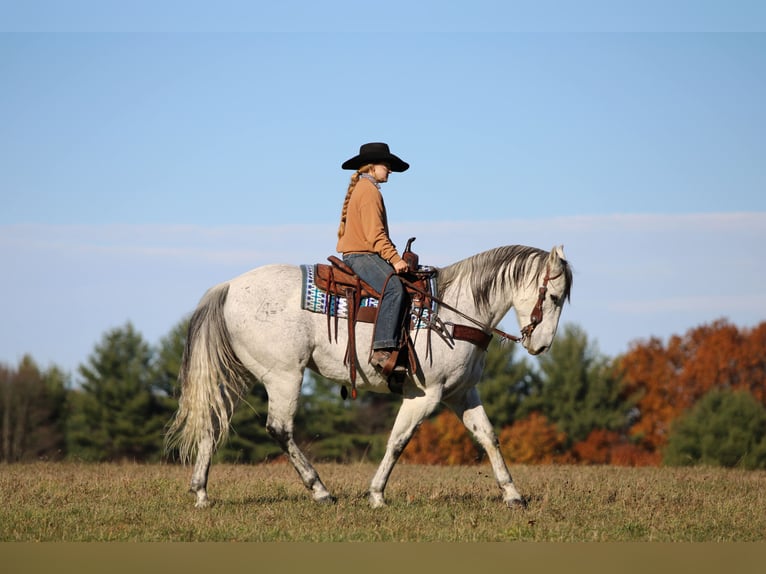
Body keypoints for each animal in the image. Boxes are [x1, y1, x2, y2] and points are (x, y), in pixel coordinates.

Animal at [166, 244, 572, 508]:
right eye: (553, 296)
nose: (542, 346)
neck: (454, 311)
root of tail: (230, 286)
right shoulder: (426, 395)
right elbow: (398, 441)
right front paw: (376, 495)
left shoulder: (462, 393)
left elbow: (489, 438)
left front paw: (513, 495)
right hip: (284, 375)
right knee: (279, 429)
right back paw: (321, 491)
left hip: (241, 375)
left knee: (214, 421)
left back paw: (201, 492)